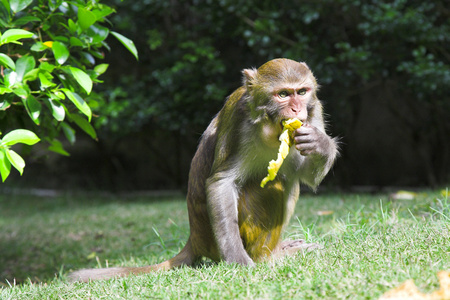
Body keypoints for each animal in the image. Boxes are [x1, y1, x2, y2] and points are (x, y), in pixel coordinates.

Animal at [69, 58, 338, 282]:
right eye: (283, 94)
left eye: (301, 92)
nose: (296, 110)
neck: (269, 125)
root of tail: (196, 239)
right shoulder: (239, 121)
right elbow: (221, 183)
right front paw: (238, 260)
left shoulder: (315, 110)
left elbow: (306, 175)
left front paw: (321, 144)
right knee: (274, 185)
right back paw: (269, 256)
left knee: (289, 178)